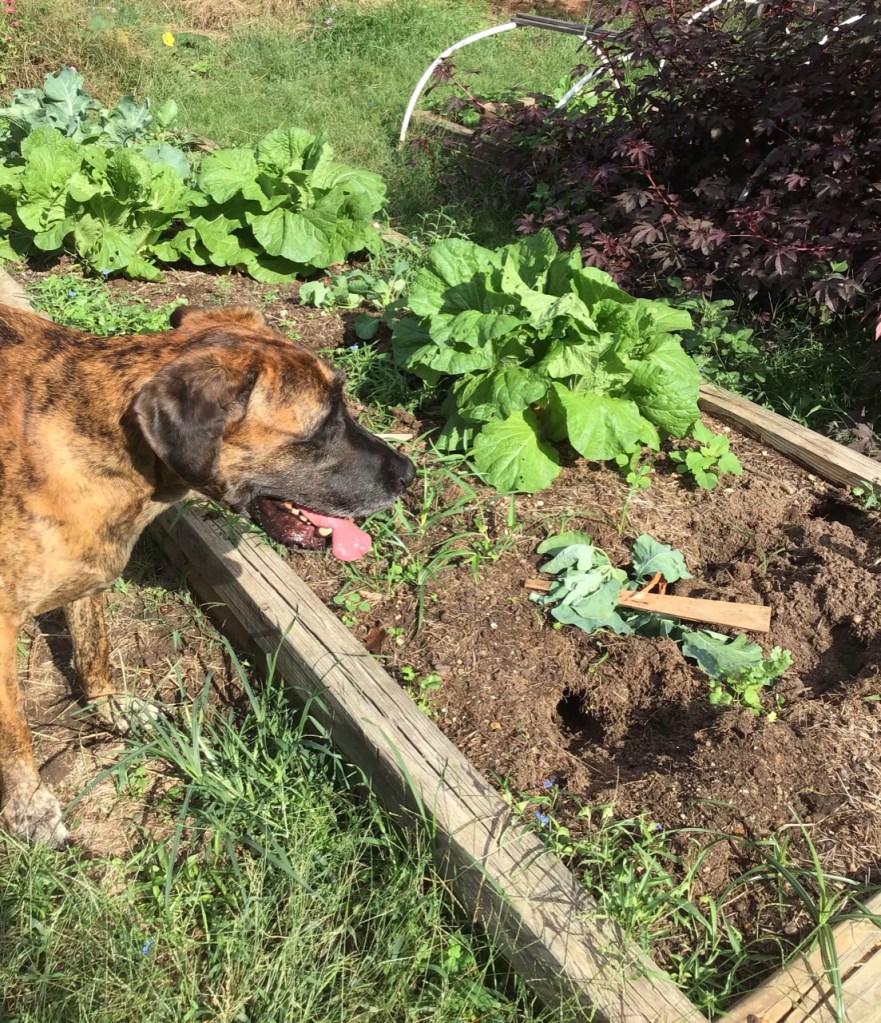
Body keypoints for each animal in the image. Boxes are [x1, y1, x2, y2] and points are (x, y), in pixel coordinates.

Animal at [0, 289, 415, 848]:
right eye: (323, 426)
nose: (408, 474)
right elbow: (15, 735)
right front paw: (29, 807)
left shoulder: (88, 574)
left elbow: (93, 647)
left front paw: (111, 706)